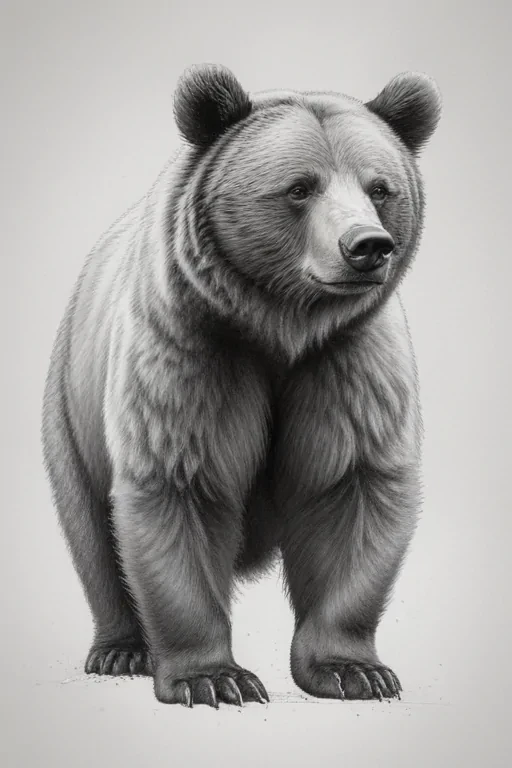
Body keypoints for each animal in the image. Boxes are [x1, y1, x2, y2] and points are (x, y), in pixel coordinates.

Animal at [41, 63, 441, 708]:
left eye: (381, 188)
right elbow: (179, 483)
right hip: (70, 406)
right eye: (300, 187)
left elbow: (352, 486)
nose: (367, 246)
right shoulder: (194, 349)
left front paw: (354, 670)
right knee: (91, 531)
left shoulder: (347, 361)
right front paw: (214, 677)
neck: (281, 326)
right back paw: (120, 648)